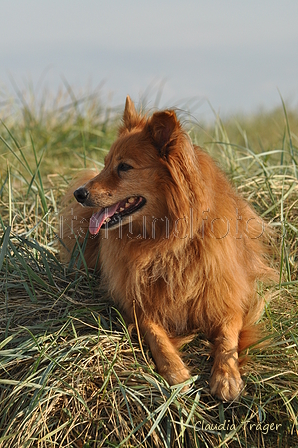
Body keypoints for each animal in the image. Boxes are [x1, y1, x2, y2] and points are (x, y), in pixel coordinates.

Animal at [60, 96, 274, 400]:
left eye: (124, 167)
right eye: (105, 164)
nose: (80, 193)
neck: (165, 242)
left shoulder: (228, 299)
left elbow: (228, 337)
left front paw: (227, 376)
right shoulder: (137, 303)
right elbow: (156, 334)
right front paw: (175, 370)